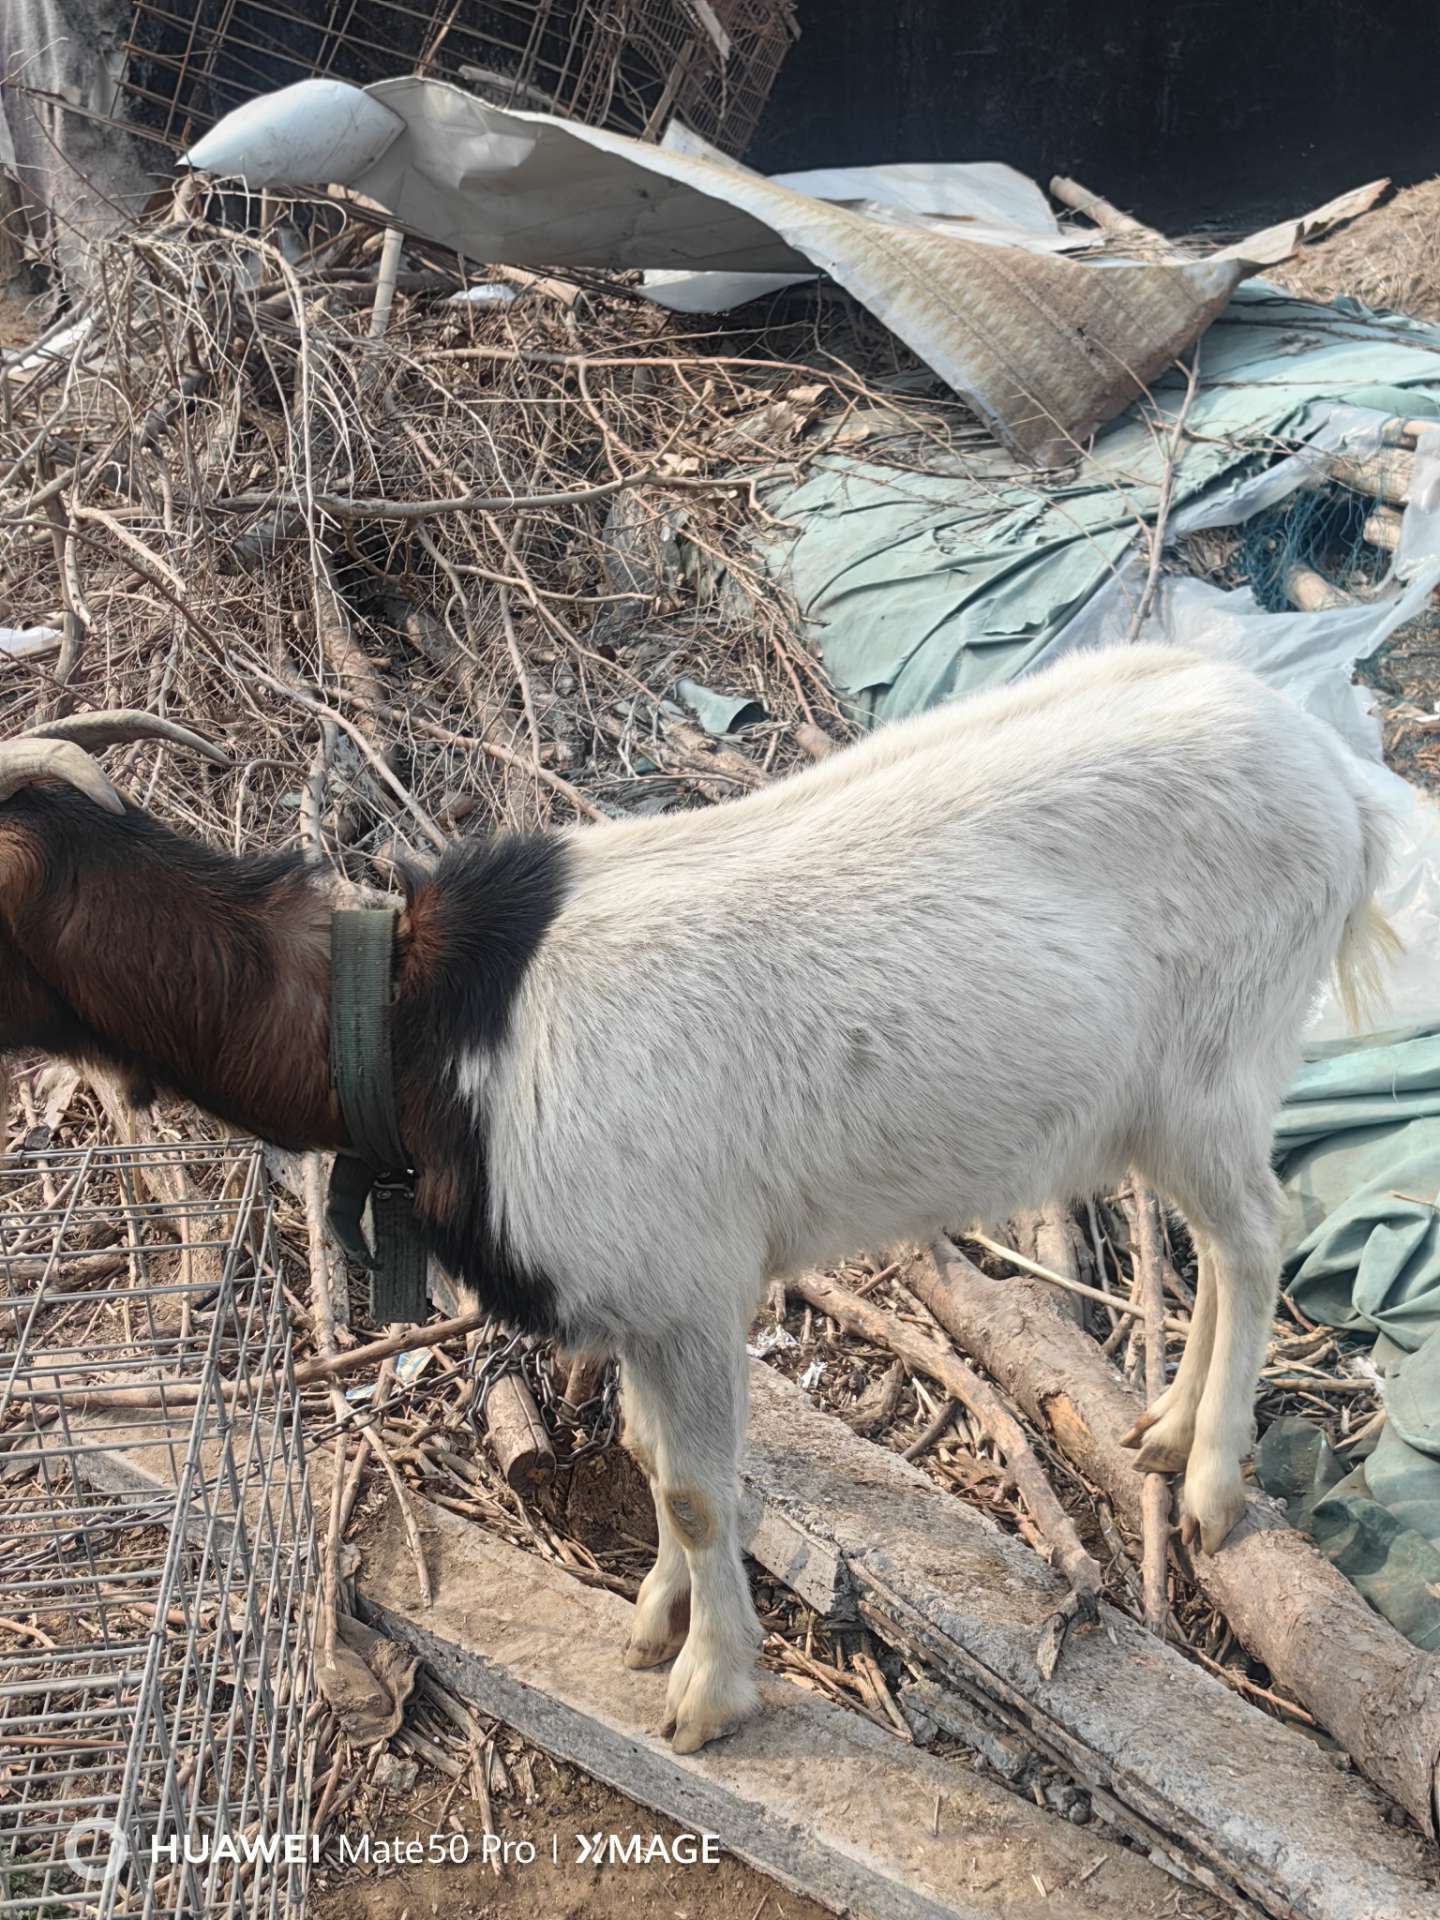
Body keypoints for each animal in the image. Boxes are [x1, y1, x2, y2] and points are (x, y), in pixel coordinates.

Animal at [0, 644, 1393, 1754]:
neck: (415, 1031)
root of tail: (1334, 776)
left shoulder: (687, 1291)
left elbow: (698, 1488)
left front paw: (712, 1692)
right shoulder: (637, 1295)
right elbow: (648, 1451)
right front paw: (654, 1616)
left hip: (1215, 1065)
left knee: (1257, 1238)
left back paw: (1211, 1484)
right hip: (1164, 1100)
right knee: (1218, 1241)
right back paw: (1160, 1431)